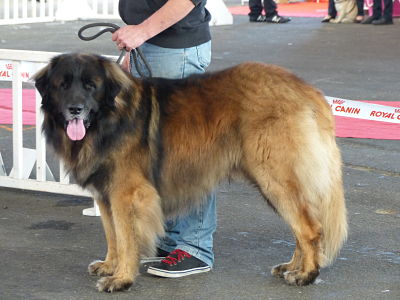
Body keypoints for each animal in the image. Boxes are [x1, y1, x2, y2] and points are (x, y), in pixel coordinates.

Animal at [33, 52, 346, 292]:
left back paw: (306, 274)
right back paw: (293, 266)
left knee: (310, 228)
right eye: (63, 85)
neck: (109, 119)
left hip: (274, 177)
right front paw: (110, 265)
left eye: (90, 86)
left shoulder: (127, 193)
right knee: (303, 226)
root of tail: (307, 90)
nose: (75, 109)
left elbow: (125, 238)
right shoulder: (105, 195)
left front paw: (121, 278)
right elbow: (112, 235)